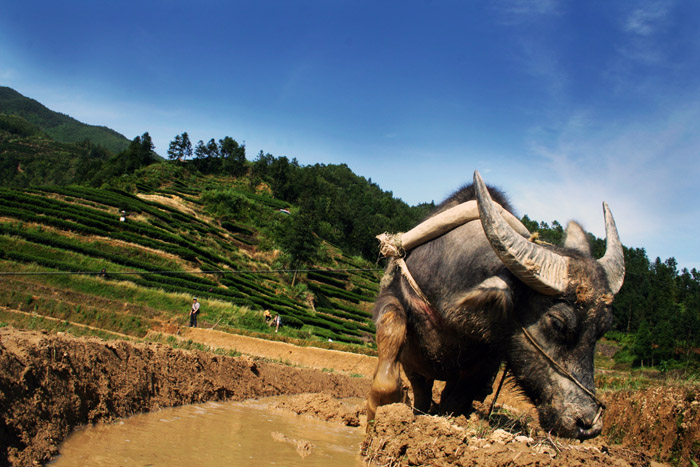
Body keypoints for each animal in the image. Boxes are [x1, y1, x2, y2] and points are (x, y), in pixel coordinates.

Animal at [370, 171, 628, 438]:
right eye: (557, 322)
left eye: (602, 329)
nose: (587, 423)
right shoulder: (395, 302)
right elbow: (392, 327)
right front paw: (387, 404)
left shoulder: (485, 362)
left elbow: (454, 402)